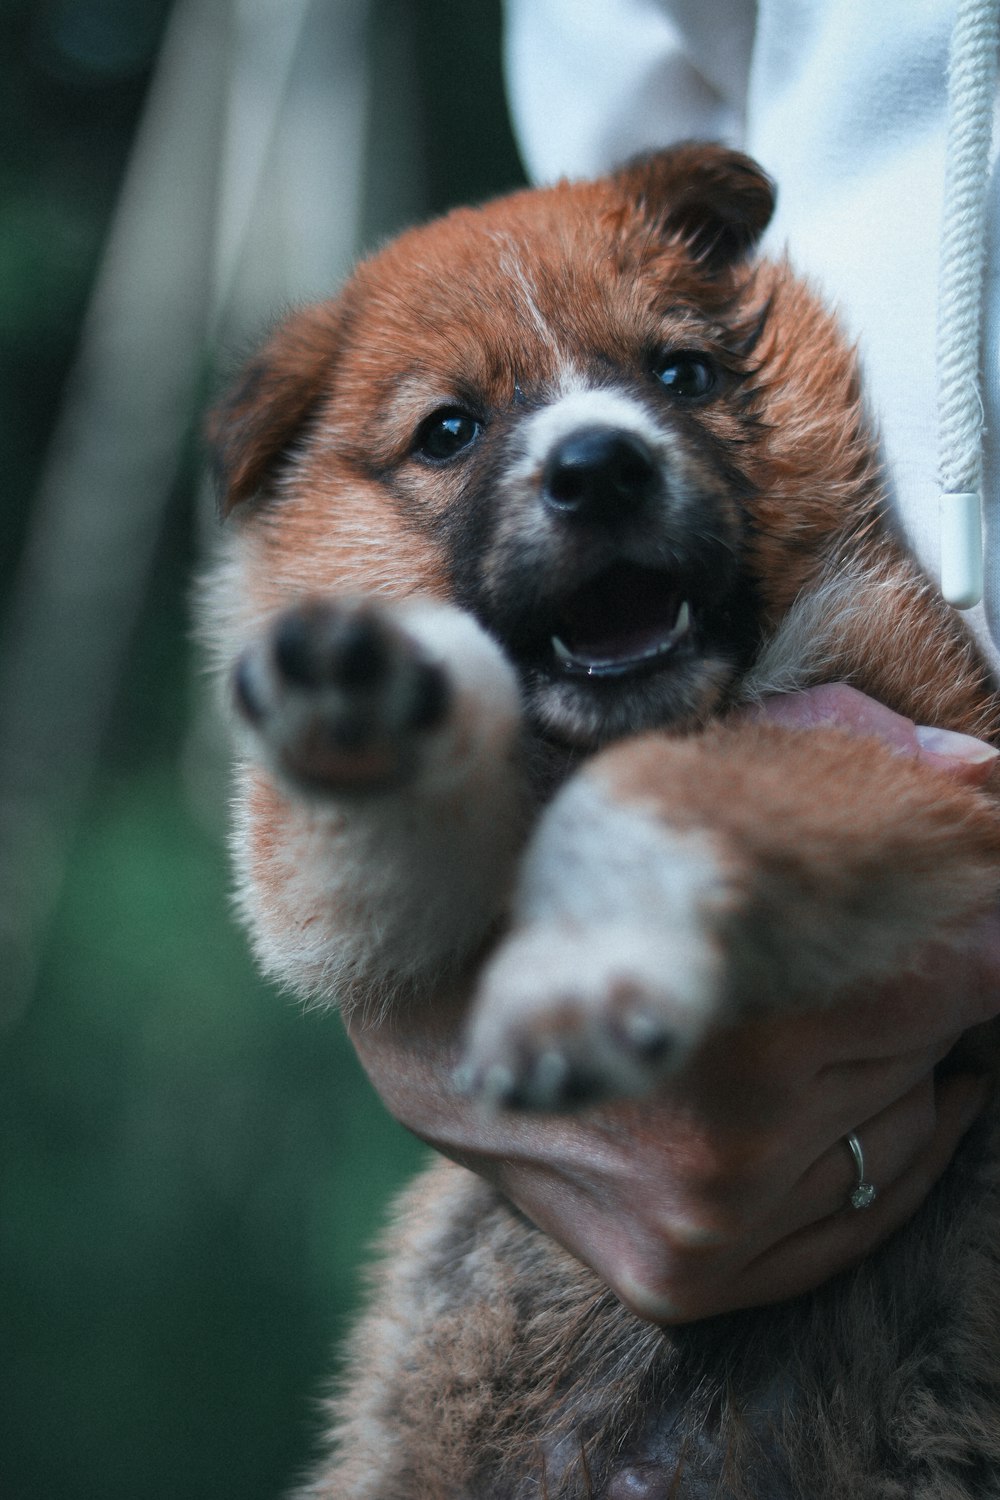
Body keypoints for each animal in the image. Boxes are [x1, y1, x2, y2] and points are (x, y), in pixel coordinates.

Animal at [203, 143, 1000, 1500]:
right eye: (448, 431)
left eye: (678, 371)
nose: (600, 466)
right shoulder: (331, 915)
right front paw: (371, 693)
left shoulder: (932, 761)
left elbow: (686, 791)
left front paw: (586, 966)